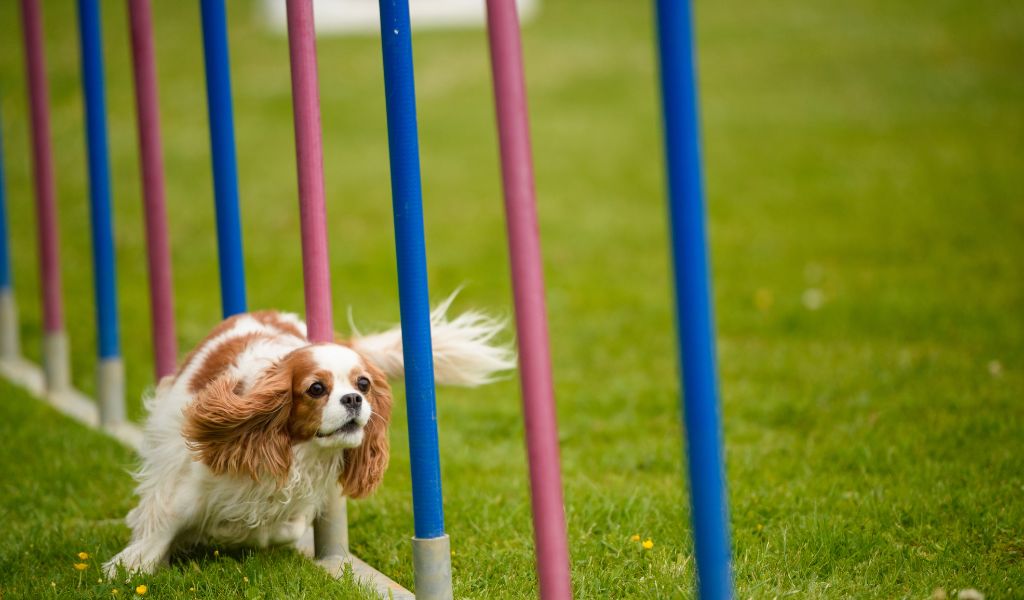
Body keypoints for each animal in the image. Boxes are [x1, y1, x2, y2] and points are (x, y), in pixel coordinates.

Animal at [103, 298, 512, 573]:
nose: (353, 399)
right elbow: (166, 516)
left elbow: (280, 528)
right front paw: (129, 566)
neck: (298, 450)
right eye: (316, 389)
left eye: (363, 384)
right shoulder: (194, 475)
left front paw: (228, 531)